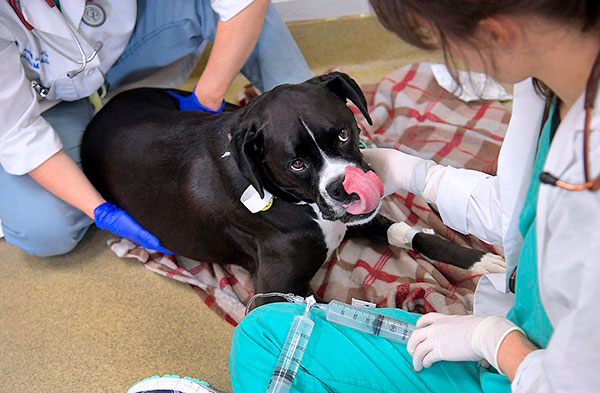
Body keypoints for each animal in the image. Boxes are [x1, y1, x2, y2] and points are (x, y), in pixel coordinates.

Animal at [79, 72, 502, 298]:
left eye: (344, 134)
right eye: (297, 164)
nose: (345, 189)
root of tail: (101, 111)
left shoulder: (357, 219)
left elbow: (412, 233)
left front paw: (482, 261)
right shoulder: (273, 293)